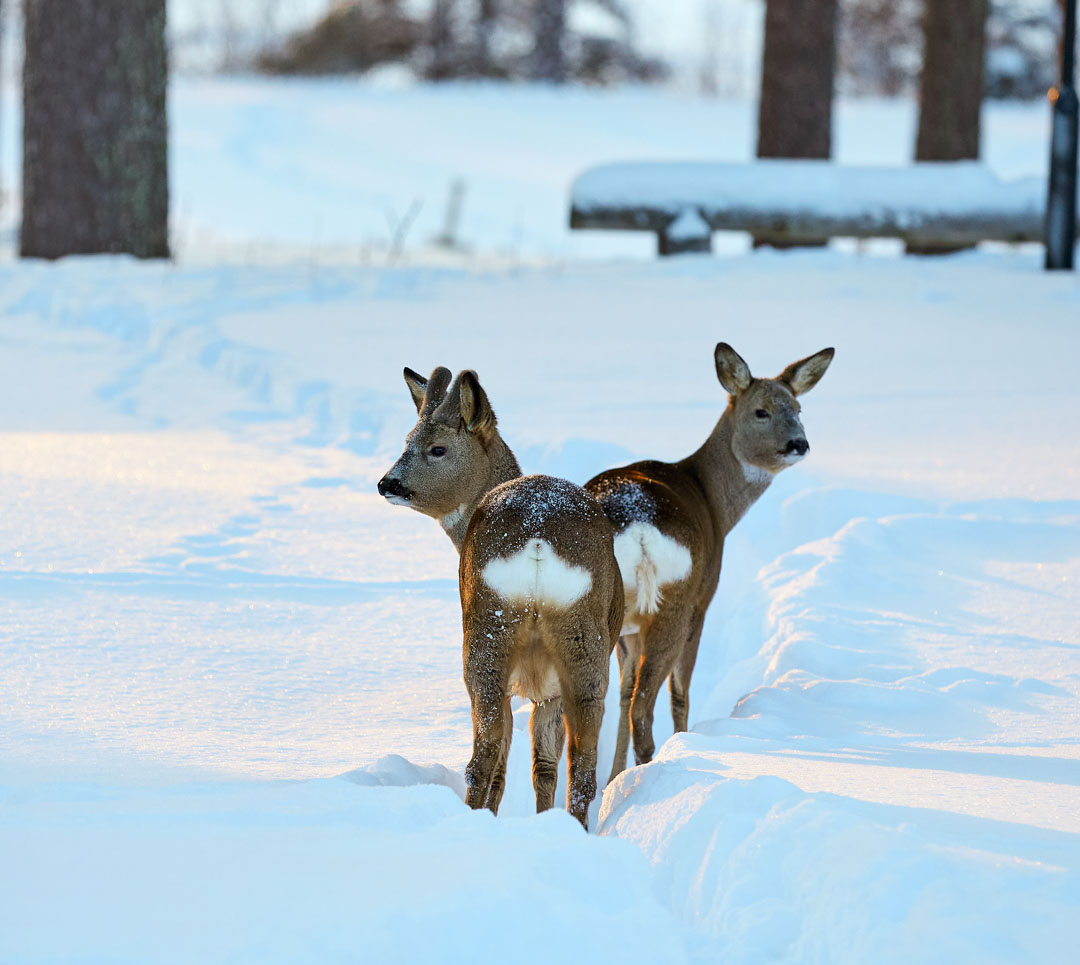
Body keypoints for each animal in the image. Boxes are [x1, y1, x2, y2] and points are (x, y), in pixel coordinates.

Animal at [377, 366, 623, 828]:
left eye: (437, 448)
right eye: (406, 441)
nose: (387, 483)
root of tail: (538, 537)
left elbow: (511, 764)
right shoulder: (549, 687)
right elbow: (544, 766)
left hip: (484, 638)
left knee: (484, 758)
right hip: (584, 649)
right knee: (581, 768)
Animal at [587, 342, 834, 784]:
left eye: (798, 408)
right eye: (761, 411)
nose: (799, 444)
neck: (713, 502)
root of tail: (635, 525)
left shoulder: (629, 629)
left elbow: (622, 691)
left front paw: (613, 777)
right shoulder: (702, 601)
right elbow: (680, 693)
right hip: (674, 603)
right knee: (645, 709)